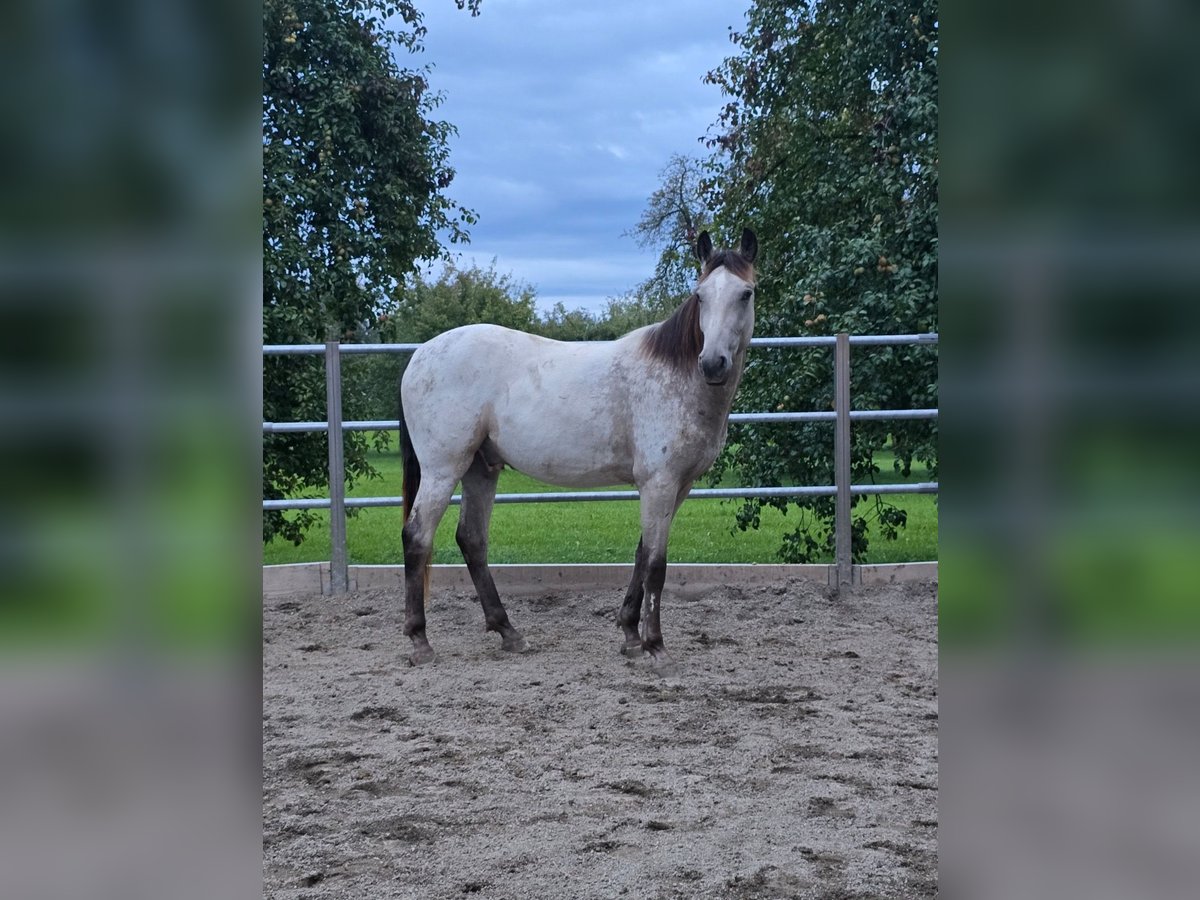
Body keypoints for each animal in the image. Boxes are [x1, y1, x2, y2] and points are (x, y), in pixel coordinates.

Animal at [397, 228, 757, 672]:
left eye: (745, 294)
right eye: (701, 295)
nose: (713, 364)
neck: (677, 376)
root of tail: (419, 355)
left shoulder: (679, 485)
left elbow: (641, 553)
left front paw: (630, 634)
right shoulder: (659, 483)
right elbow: (656, 564)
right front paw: (655, 646)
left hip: (481, 468)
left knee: (472, 539)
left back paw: (509, 633)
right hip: (443, 469)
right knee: (417, 536)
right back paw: (420, 641)